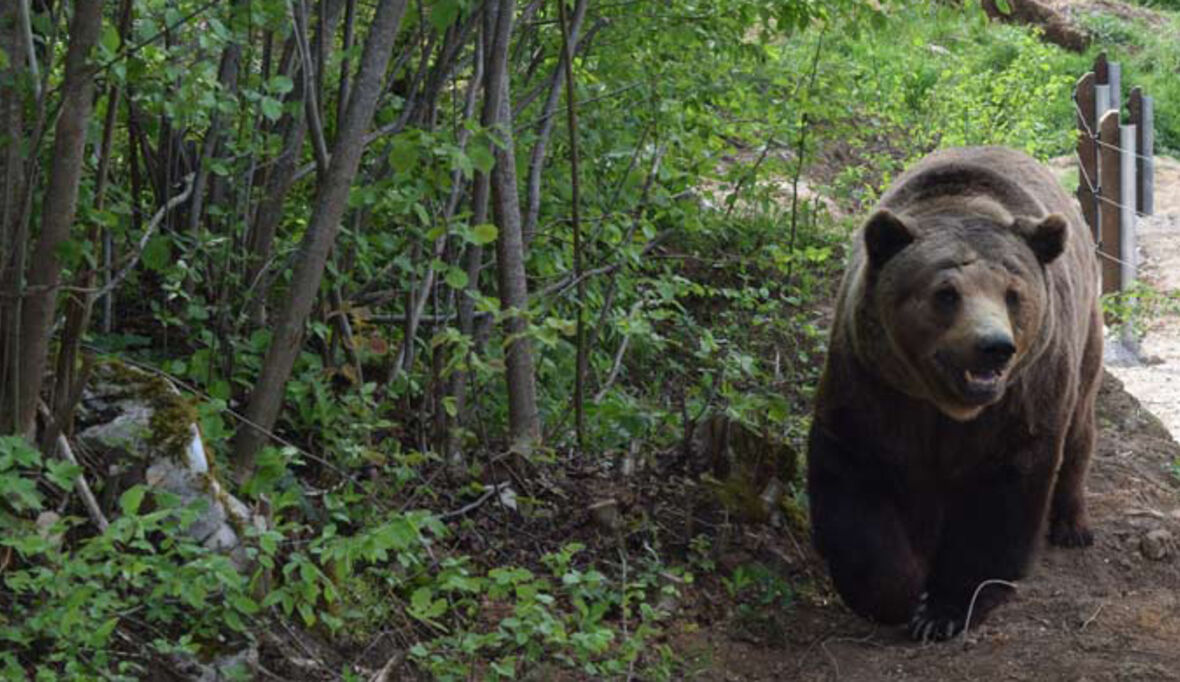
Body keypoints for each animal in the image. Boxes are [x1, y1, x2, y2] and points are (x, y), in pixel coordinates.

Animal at [807, 146, 1099, 641]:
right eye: (946, 293)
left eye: (1013, 293)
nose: (994, 346)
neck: (947, 407)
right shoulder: (872, 387)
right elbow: (853, 487)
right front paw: (900, 593)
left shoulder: (1018, 405)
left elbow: (1001, 502)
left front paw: (944, 609)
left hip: (1084, 342)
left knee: (1080, 427)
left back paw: (1072, 524)